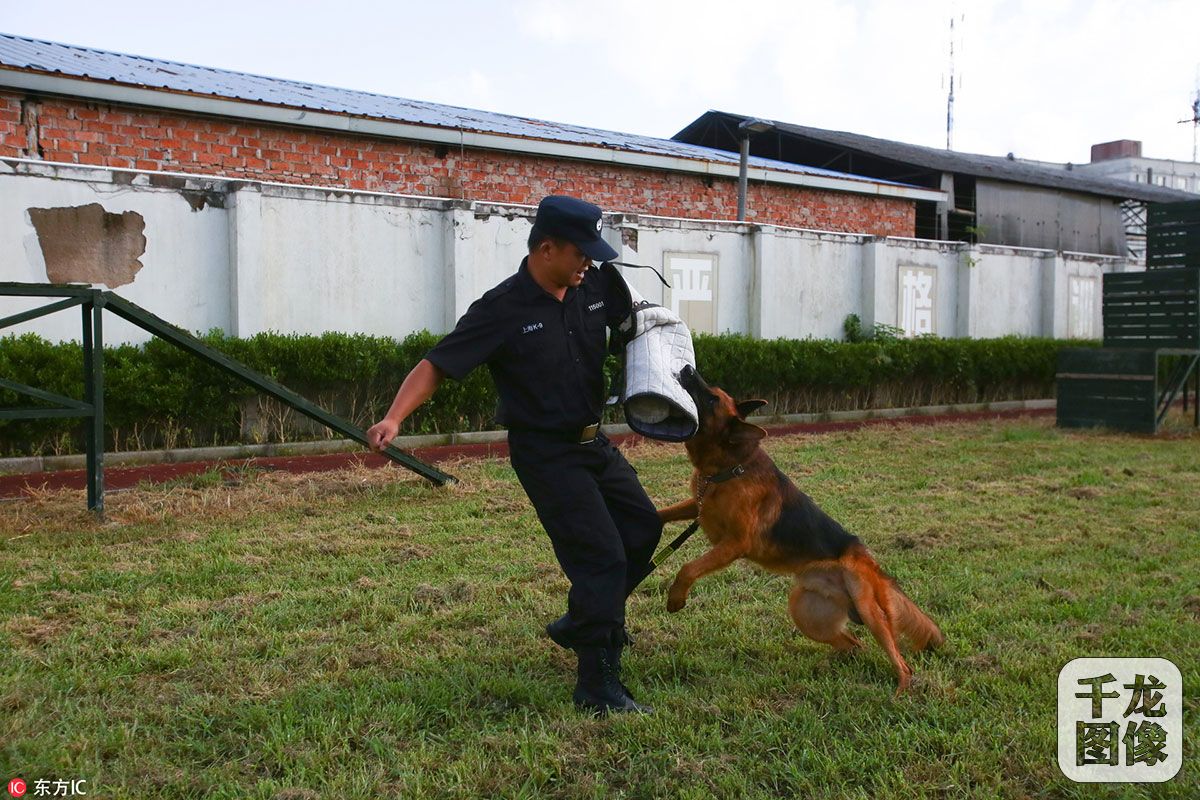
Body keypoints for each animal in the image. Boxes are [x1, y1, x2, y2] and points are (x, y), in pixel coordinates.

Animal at [662, 367, 940, 690]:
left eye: (711, 399)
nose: (688, 369)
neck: (731, 468)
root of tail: (870, 562)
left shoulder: (734, 544)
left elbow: (688, 568)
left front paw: (676, 598)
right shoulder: (697, 507)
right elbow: (662, 514)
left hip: (869, 612)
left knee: (902, 665)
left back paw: (899, 693)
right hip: (804, 612)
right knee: (853, 644)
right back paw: (827, 668)